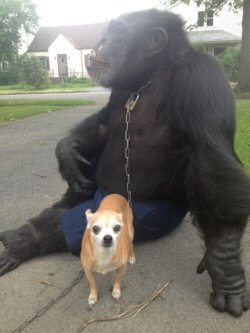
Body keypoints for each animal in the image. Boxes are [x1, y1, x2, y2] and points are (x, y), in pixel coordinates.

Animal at [0, 8, 250, 316]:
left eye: (118, 33)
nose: (101, 41)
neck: (149, 75)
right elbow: (105, 123)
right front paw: (67, 150)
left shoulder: (201, 77)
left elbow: (211, 160)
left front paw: (226, 268)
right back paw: (29, 233)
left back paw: (25, 240)